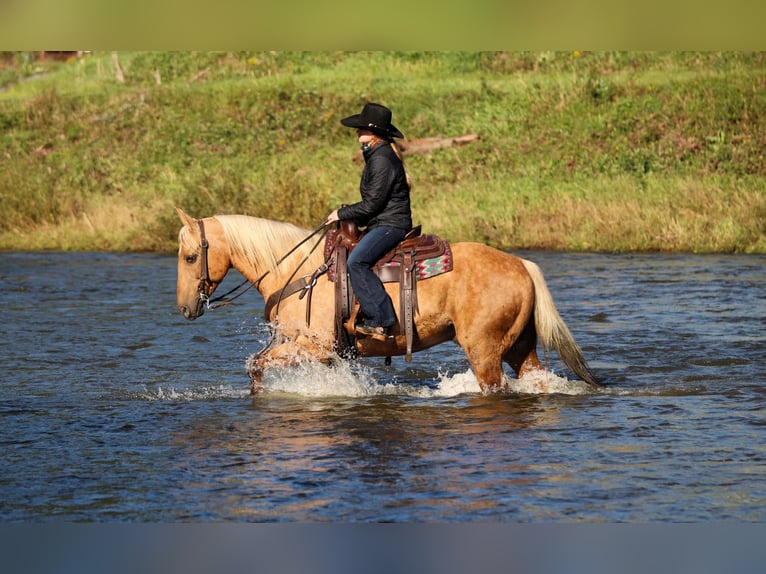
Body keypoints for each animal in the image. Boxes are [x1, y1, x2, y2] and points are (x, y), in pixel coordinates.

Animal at [175, 208, 601, 394]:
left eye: (191, 256)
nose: (185, 307)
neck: (298, 271)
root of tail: (522, 265)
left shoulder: (313, 347)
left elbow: (255, 366)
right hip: (519, 346)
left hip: (484, 350)